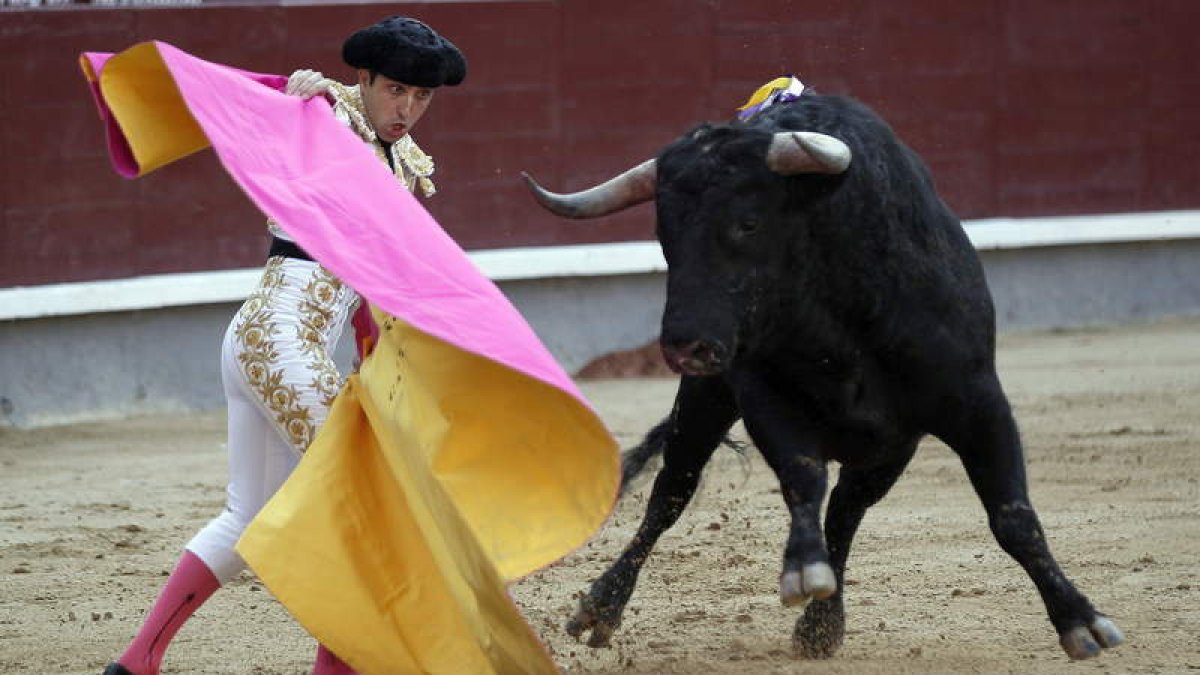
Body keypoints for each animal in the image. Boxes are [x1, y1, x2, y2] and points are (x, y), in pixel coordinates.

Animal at [523, 88, 1123, 658]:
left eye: (747, 222)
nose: (684, 346)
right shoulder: (764, 396)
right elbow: (801, 477)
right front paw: (803, 570)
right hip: (705, 401)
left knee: (846, 510)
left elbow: (1013, 516)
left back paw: (821, 626)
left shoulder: (977, 403)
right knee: (672, 492)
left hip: (887, 449)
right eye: (664, 234)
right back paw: (603, 607)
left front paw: (1080, 621)